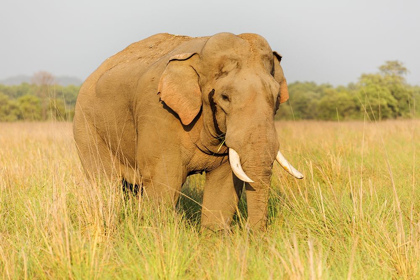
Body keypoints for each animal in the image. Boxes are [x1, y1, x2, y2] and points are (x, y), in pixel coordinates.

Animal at [72, 32, 302, 231]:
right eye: (225, 97)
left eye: (276, 97)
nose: (252, 235)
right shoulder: (158, 112)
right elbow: (165, 179)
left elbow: (224, 186)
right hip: (86, 126)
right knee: (104, 182)